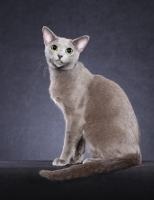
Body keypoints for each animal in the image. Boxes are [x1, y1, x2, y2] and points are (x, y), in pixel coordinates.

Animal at [39, 26, 141, 181]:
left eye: (69, 50)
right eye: (54, 47)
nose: (60, 55)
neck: (60, 76)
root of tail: (138, 153)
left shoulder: (75, 115)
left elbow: (69, 139)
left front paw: (63, 160)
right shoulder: (79, 120)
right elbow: (79, 142)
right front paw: (75, 160)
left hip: (93, 128)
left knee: (114, 157)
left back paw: (91, 161)